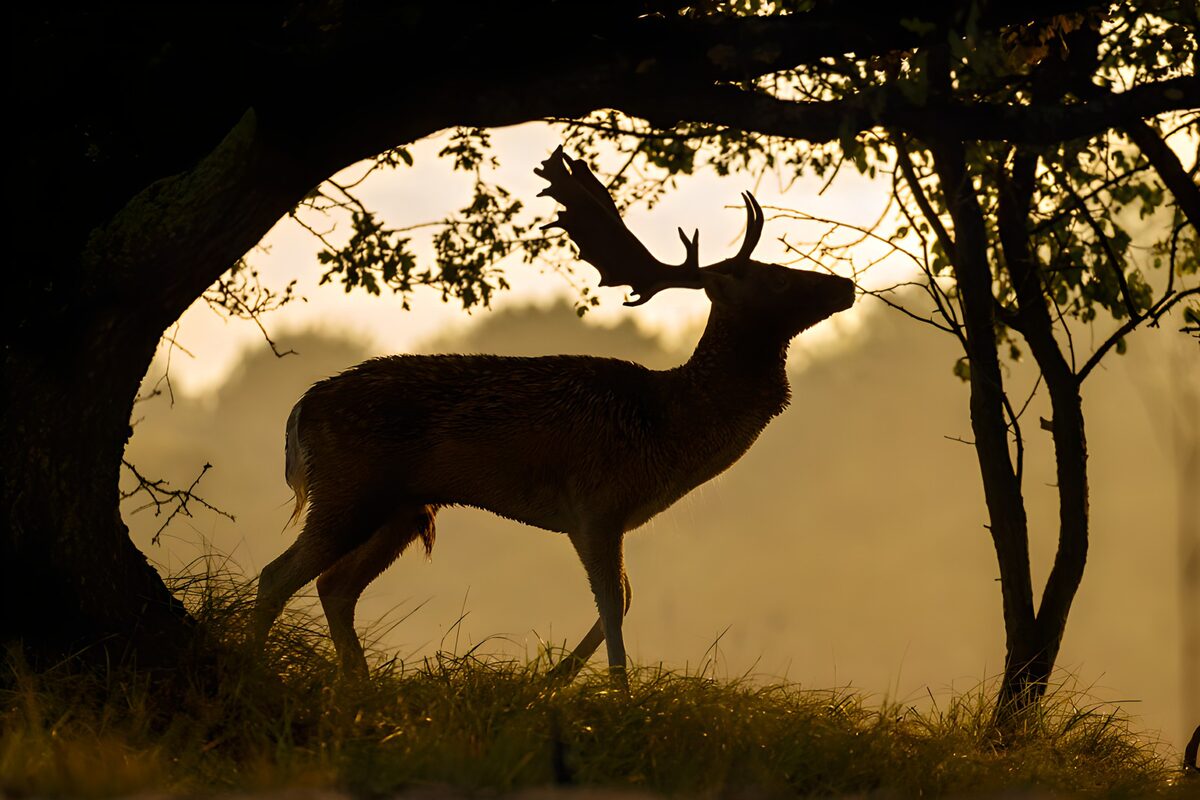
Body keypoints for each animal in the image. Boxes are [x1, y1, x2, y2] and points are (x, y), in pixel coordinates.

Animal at [250, 146, 855, 682]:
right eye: (778, 276)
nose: (845, 284)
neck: (669, 426)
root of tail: (299, 411)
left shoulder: (602, 514)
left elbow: (624, 599)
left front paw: (553, 679)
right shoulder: (595, 502)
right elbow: (615, 602)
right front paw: (612, 693)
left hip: (402, 506)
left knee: (335, 586)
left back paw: (362, 686)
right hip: (350, 488)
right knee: (277, 574)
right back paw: (257, 673)